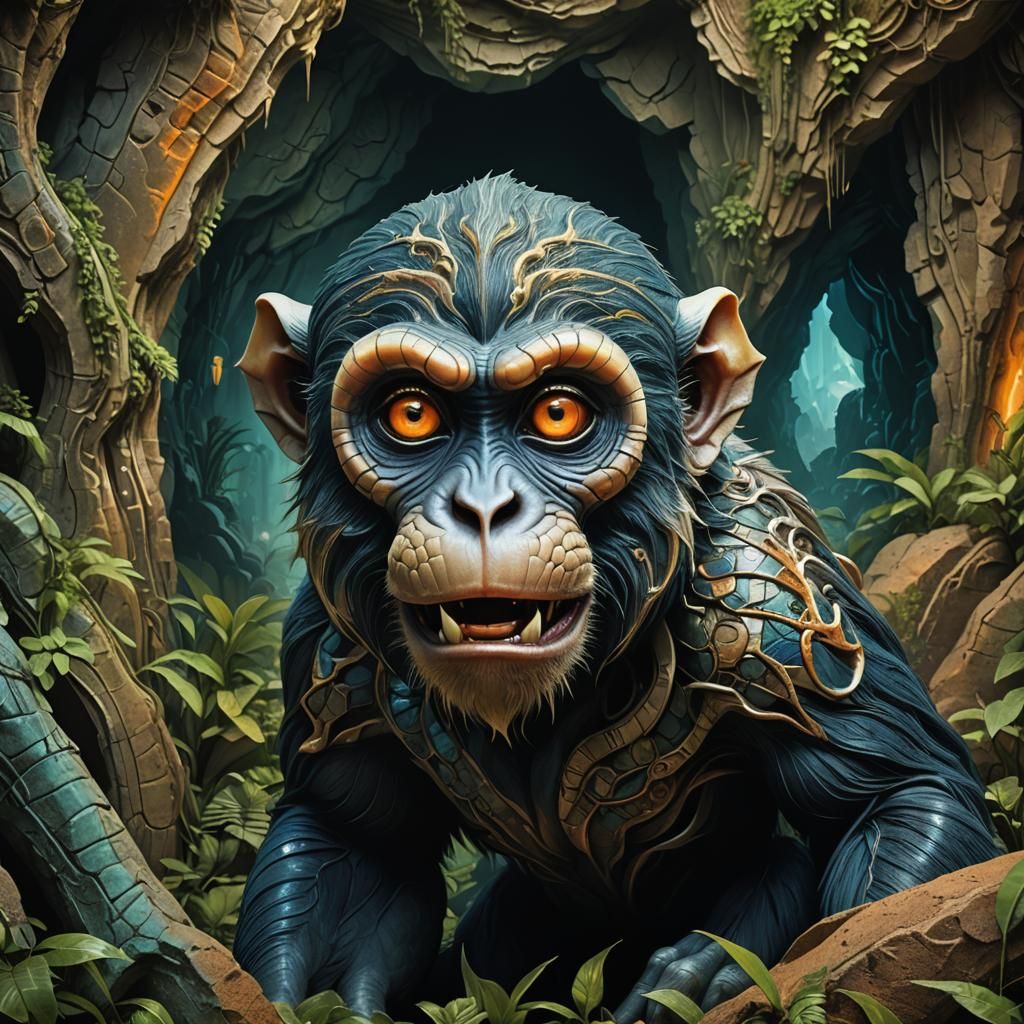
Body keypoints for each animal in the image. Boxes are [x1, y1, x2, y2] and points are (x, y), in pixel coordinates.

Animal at [232, 175, 997, 1016]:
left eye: (557, 412)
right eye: (412, 412)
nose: (485, 510)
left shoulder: (776, 613)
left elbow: (898, 803)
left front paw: (729, 967)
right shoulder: (328, 641)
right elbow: (356, 840)